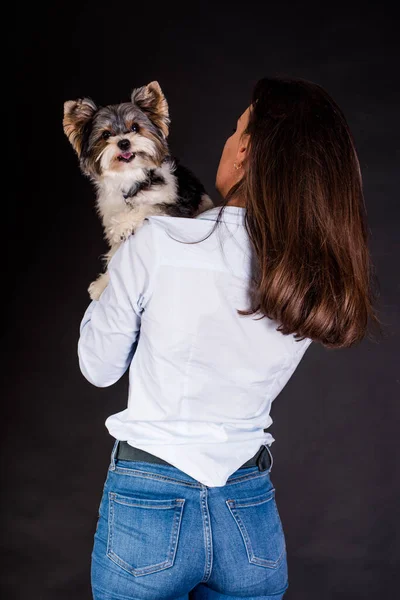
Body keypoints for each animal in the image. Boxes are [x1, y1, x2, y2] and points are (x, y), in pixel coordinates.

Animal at [62, 81, 212, 300]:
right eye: (106, 135)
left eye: (135, 127)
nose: (124, 142)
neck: (129, 177)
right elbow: (115, 253)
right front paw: (102, 284)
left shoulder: (172, 205)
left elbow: (148, 207)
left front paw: (124, 223)